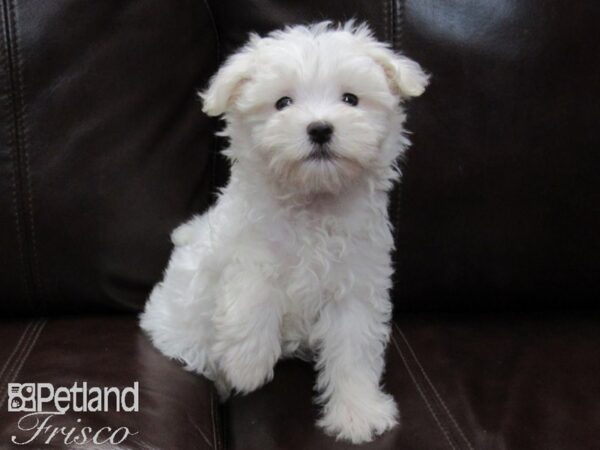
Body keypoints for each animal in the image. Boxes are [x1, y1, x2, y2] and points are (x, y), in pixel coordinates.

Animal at [142, 21, 426, 442]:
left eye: (350, 98)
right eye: (282, 103)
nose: (320, 128)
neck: (312, 202)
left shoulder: (355, 284)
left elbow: (353, 350)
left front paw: (357, 412)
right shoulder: (246, 247)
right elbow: (253, 290)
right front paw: (246, 366)